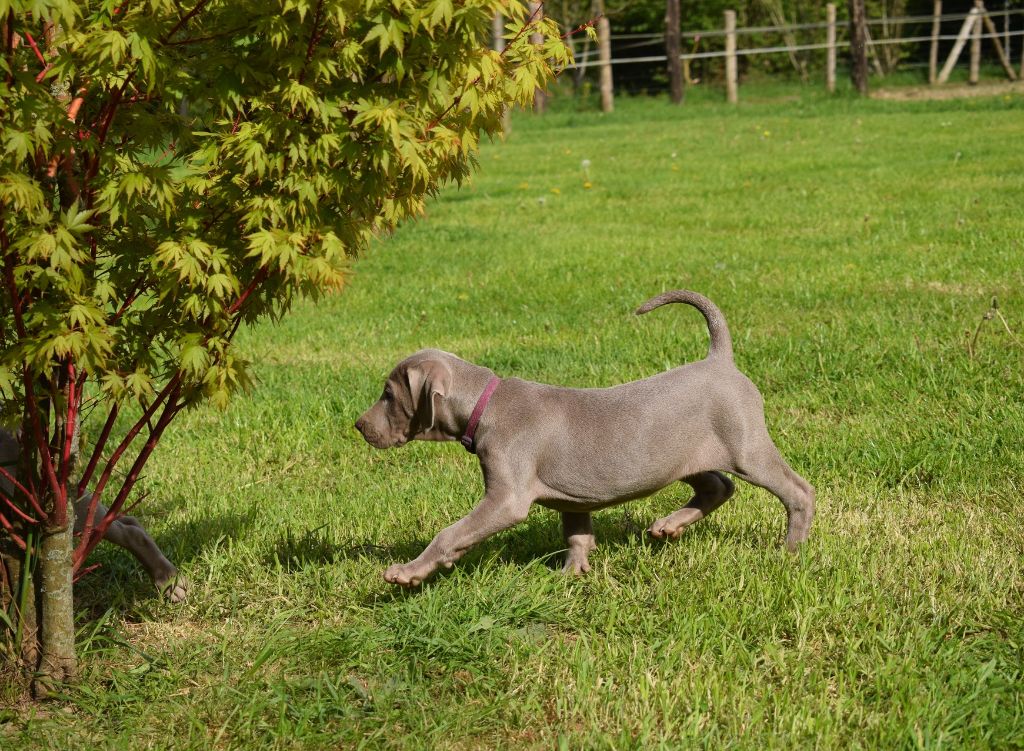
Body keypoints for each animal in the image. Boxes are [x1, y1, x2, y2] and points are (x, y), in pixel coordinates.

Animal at [356, 290, 811, 590]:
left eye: (388, 394)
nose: (359, 425)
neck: (486, 404)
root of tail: (720, 359)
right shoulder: (571, 498)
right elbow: (576, 533)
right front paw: (570, 575)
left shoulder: (506, 497)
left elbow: (452, 532)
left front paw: (408, 572)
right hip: (679, 455)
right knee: (718, 485)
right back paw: (669, 525)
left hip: (746, 446)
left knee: (797, 490)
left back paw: (790, 551)